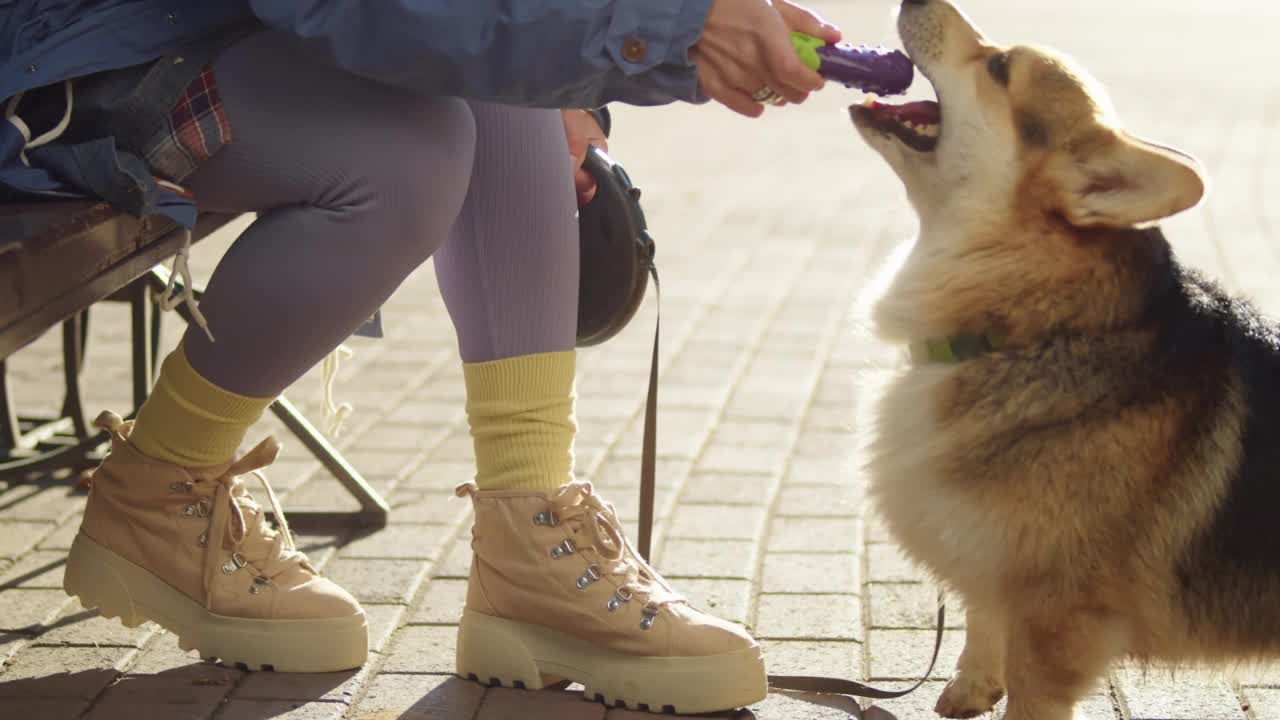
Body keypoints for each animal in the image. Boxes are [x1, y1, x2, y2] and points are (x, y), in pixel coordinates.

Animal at [849, 1, 1280, 717]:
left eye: (999, 66)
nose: (914, 2)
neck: (1040, 329)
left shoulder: (1057, 627)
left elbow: (1027, 693)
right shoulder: (994, 568)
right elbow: (979, 619)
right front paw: (969, 688)